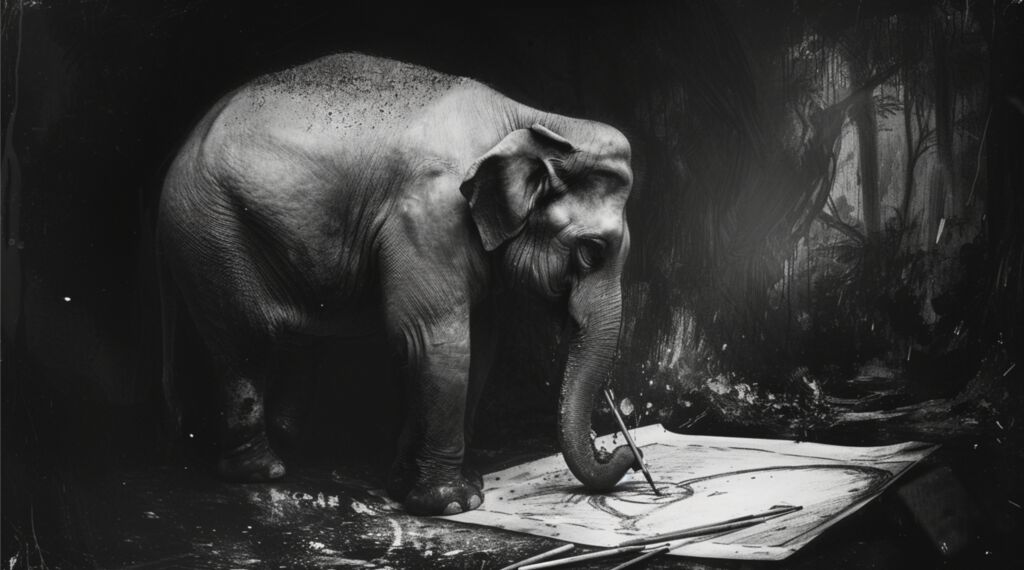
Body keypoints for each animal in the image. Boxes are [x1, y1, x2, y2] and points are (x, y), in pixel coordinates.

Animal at [157, 53, 638, 516]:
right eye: (591, 251)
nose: (628, 455)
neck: (530, 120)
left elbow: (478, 341)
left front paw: (415, 484)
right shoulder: (428, 214)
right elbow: (436, 339)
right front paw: (454, 503)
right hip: (211, 234)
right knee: (245, 344)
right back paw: (262, 471)